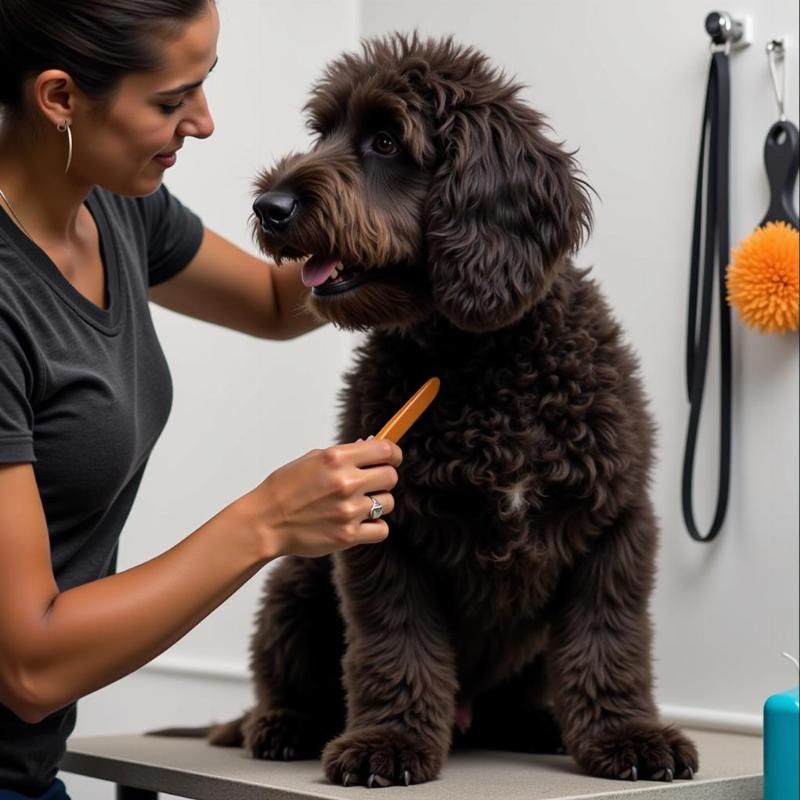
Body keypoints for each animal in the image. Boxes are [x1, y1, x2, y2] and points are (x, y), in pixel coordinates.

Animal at [214, 32, 700, 788]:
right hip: (295, 580)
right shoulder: (384, 533)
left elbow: (609, 642)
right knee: (283, 678)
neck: (480, 363)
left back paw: (537, 724)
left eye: (386, 140)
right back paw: (283, 724)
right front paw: (387, 742)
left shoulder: (613, 523)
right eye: (323, 133)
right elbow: (395, 646)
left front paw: (628, 735)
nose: (270, 206)